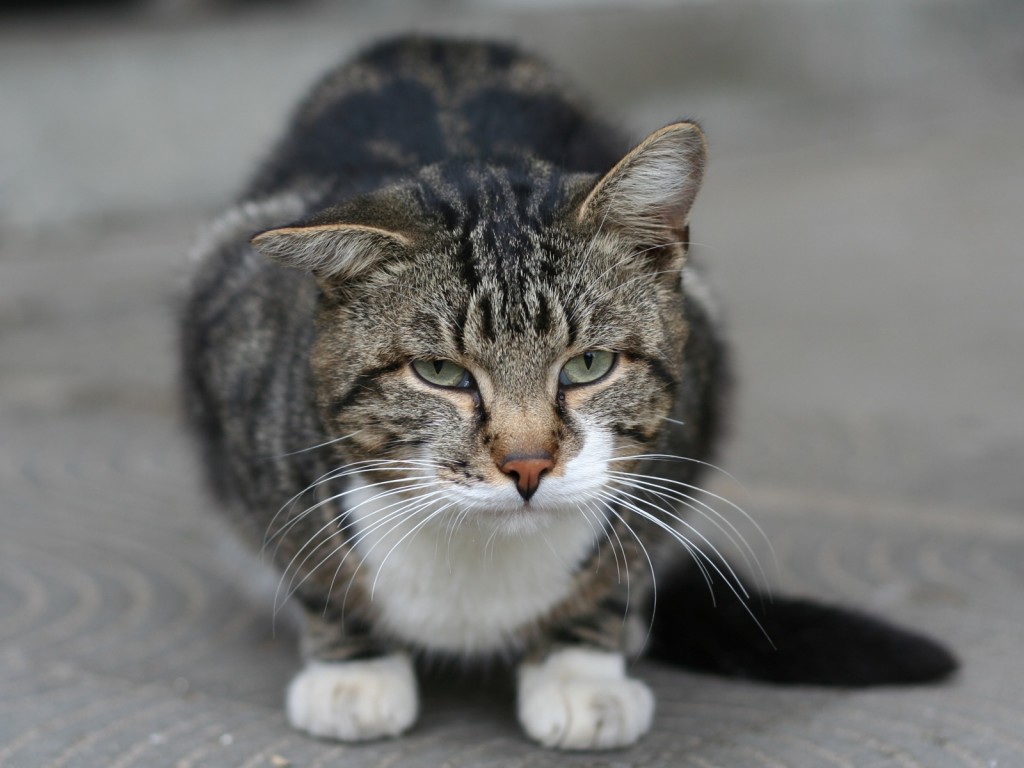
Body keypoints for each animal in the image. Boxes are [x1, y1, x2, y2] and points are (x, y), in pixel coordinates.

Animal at [180, 37, 954, 753]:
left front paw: (582, 674)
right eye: (440, 373)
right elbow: (312, 566)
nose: (527, 465)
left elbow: (619, 567)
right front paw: (354, 671)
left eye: (589, 365)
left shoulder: (688, 427)